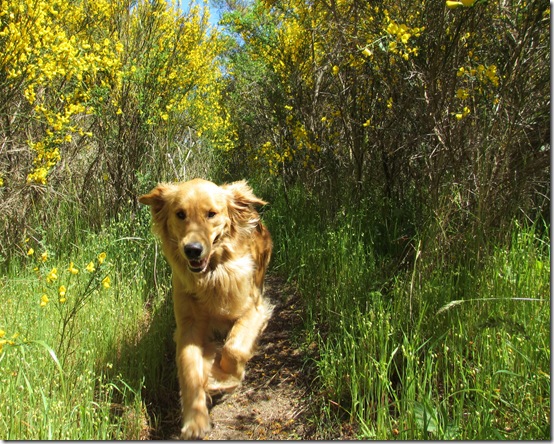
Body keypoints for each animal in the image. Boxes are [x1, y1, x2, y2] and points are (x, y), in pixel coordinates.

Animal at [138, 179, 272, 438]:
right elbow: (189, 369)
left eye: (211, 214)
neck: (212, 275)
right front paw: (195, 420)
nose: (192, 249)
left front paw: (219, 377)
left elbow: (233, 349)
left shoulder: (254, 309)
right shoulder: (188, 327)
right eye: (180, 214)